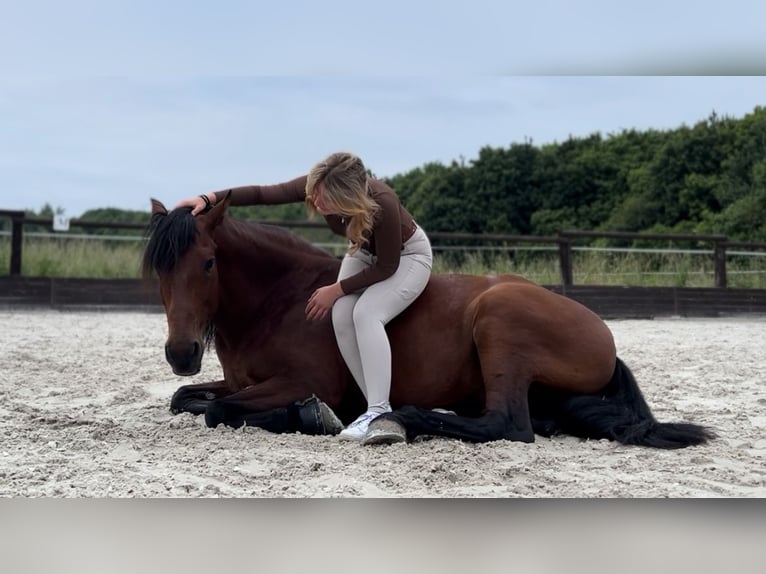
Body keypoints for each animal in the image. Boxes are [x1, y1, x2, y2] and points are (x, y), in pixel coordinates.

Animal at [146, 197, 720, 450]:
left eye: (208, 263)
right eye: (158, 267)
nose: (181, 353)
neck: (279, 300)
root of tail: (604, 335)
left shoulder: (304, 381)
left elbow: (219, 410)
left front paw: (312, 416)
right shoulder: (239, 380)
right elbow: (185, 400)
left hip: (500, 320)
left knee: (507, 425)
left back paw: (406, 418)